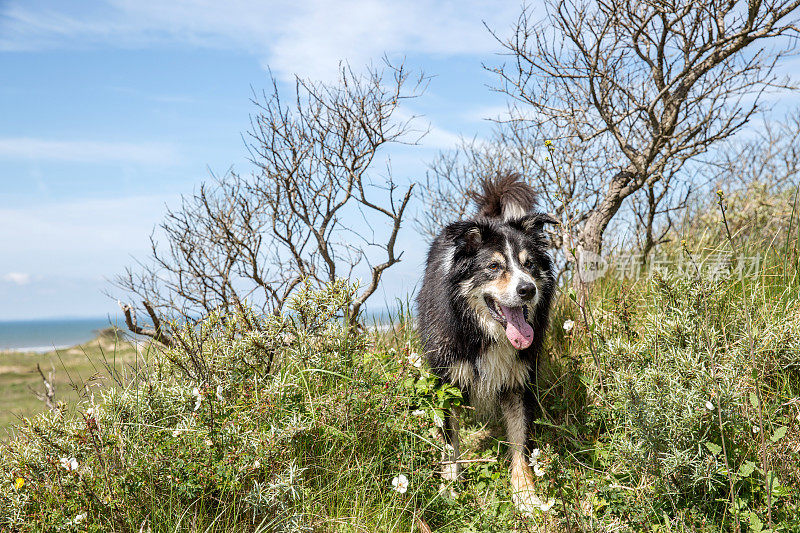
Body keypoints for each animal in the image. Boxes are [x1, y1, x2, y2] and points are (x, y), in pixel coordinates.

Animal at [416, 174, 560, 512]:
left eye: (530, 264)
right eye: (494, 267)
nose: (528, 290)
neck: (486, 332)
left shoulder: (520, 378)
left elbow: (521, 441)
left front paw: (526, 495)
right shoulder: (448, 378)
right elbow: (450, 442)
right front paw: (449, 489)